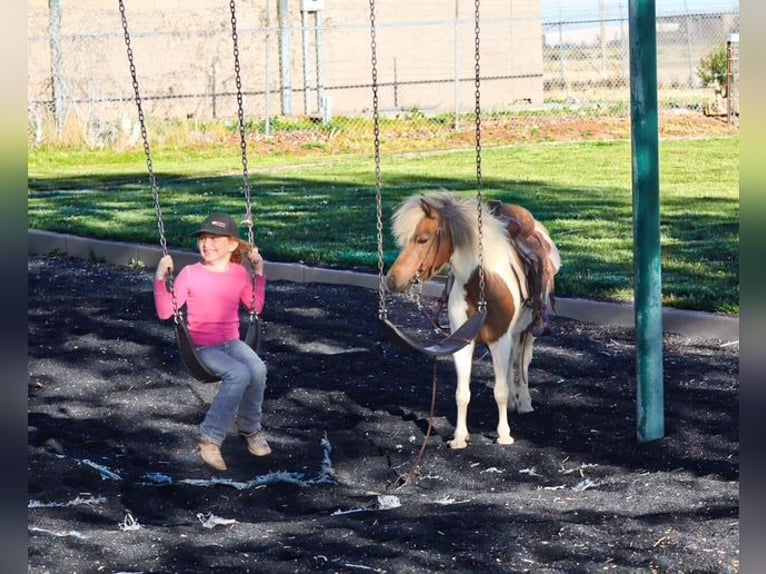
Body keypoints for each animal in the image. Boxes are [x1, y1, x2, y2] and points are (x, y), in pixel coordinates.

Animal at [386, 191, 560, 449]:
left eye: (422, 239)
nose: (392, 280)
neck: (483, 286)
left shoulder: (500, 340)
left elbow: (500, 391)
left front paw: (504, 435)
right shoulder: (462, 343)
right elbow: (462, 394)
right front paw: (459, 437)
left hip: (528, 331)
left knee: (523, 362)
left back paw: (525, 402)